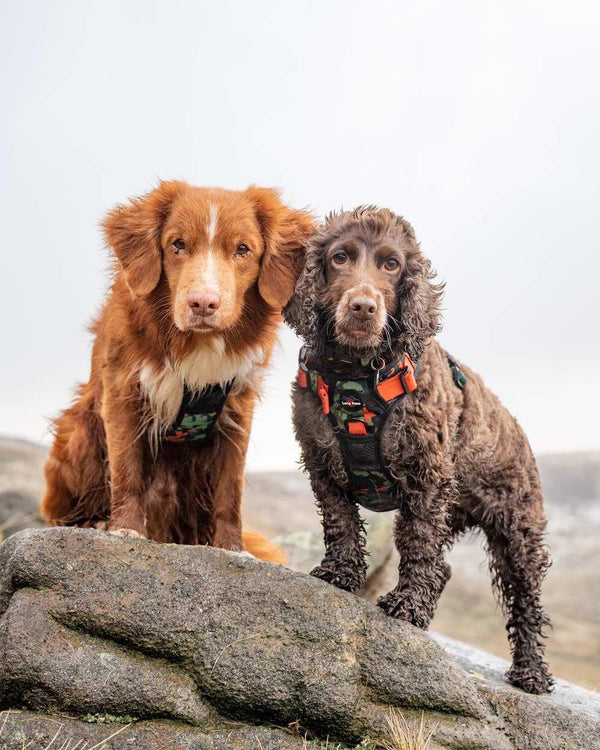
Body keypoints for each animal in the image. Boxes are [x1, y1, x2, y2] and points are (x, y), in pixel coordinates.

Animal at [41, 179, 314, 560]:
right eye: (178, 244)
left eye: (243, 249)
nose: (202, 303)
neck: (198, 344)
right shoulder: (123, 392)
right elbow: (127, 470)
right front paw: (124, 529)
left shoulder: (237, 405)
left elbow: (231, 488)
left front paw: (233, 548)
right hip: (79, 430)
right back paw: (93, 521)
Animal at [286, 207, 552, 700]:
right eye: (339, 257)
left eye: (392, 264)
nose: (363, 307)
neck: (357, 374)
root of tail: (519, 429)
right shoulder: (321, 462)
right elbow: (340, 521)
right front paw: (341, 573)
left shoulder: (427, 478)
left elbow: (418, 545)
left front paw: (409, 606)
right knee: (444, 569)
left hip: (518, 533)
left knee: (526, 602)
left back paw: (531, 671)